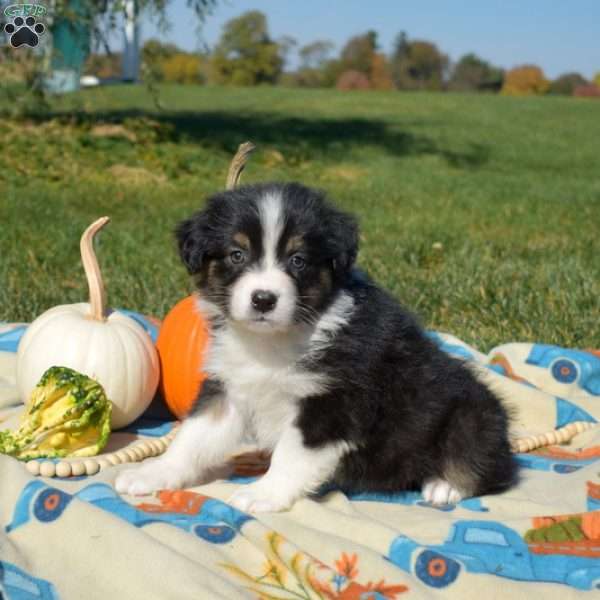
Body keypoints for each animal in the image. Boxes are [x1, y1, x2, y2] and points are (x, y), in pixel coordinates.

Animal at [116, 182, 516, 510]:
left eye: (298, 260)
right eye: (236, 254)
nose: (264, 299)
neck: (273, 341)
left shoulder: (332, 404)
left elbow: (291, 454)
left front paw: (262, 493)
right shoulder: (229, 387)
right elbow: (193, 437)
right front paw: (153, 473)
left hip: (473, 414)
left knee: (488, 466)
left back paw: (445, 485)